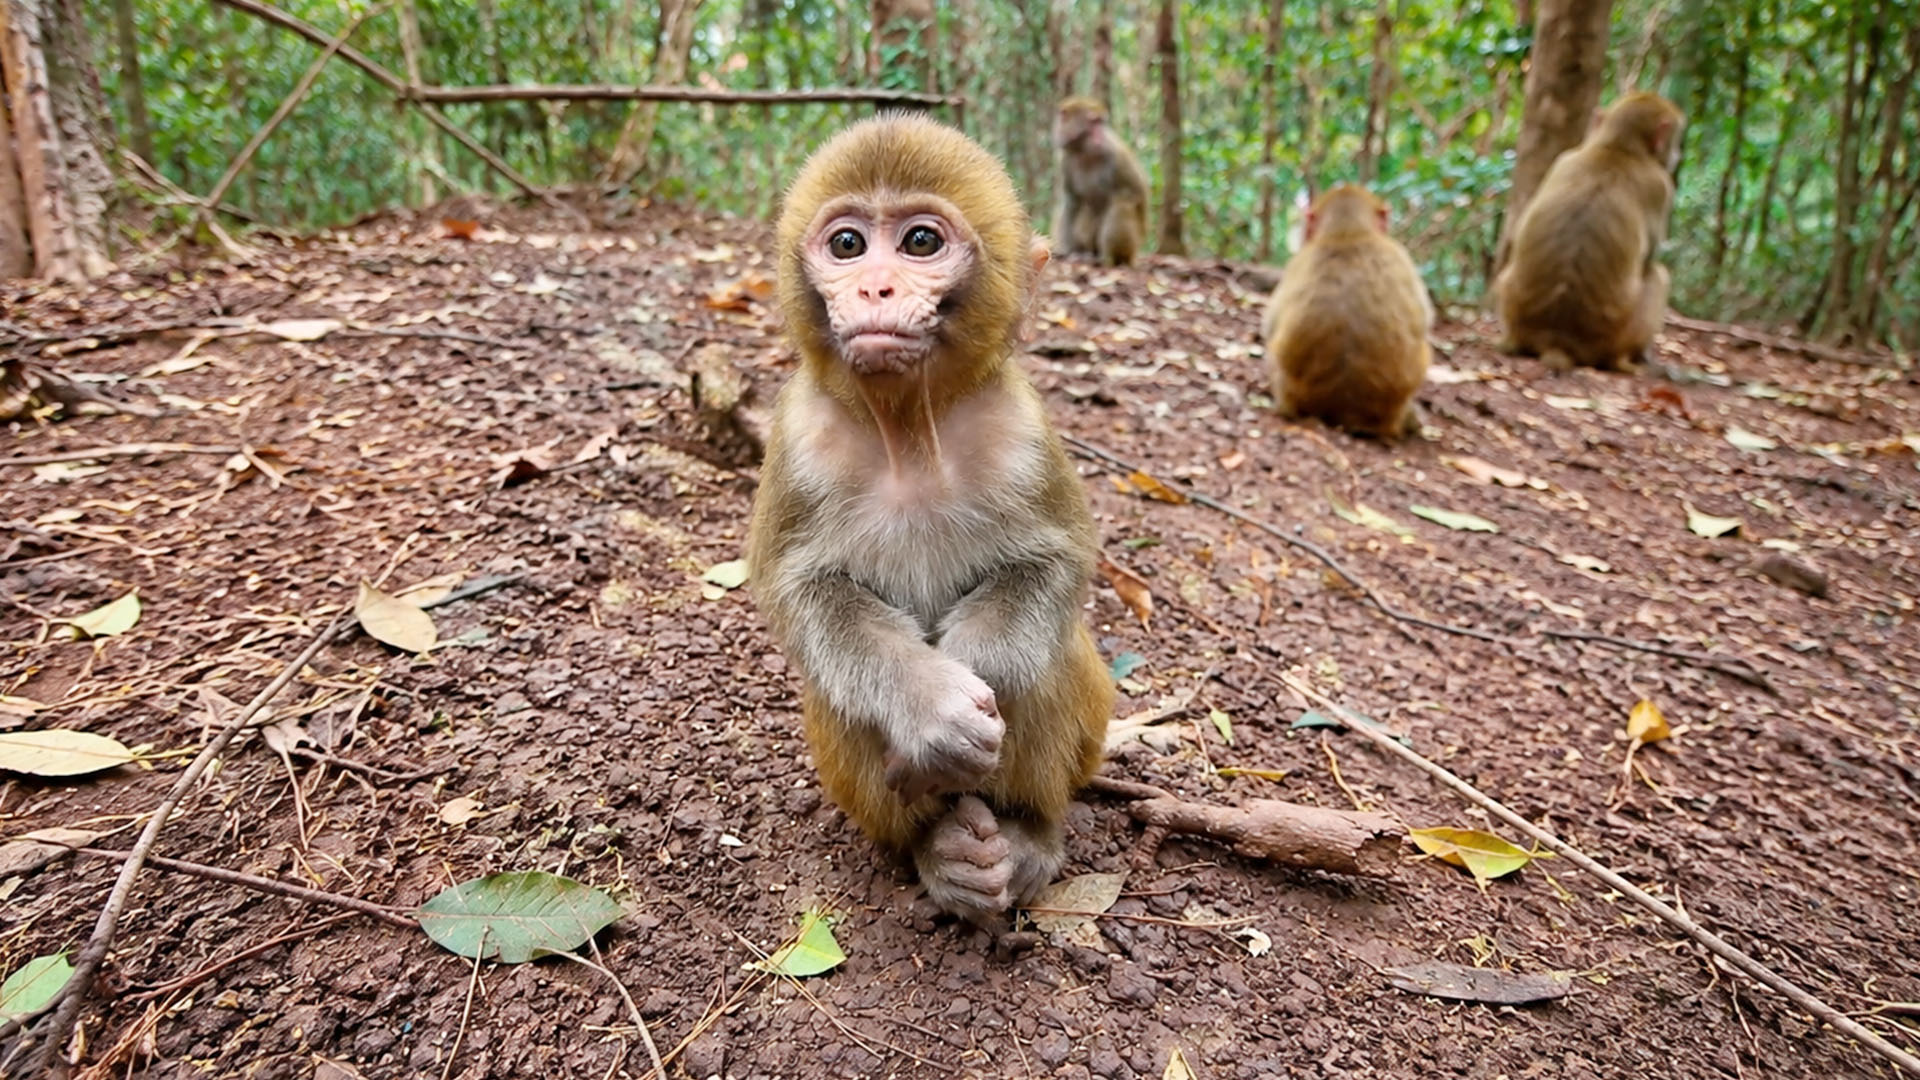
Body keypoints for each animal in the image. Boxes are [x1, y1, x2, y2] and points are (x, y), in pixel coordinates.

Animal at [746, 114, 1114, 925]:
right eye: (847, 245)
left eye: (920, 242)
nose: (874, 285)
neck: (910, 429)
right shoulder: (798, 436)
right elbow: (802, 590)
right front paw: (932, 713)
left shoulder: (1022, 428)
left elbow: (1056, 562)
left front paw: (978, 674)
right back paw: (936, 849)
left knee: (1052, 656)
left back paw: (1027, 837)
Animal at [1052, 97, 1150, 267]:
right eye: (1093, 122)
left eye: (1100, 123)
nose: (1101, 135)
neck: (1084, 153)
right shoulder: (1065, 162)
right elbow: (1073, 201)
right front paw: (1070, 251)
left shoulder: (1115, 155)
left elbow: (1135, 192)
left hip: (1133, 245)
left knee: (1122, 203)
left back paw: (1109, 257)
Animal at [1494, 92, 1686, 373]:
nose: (1677, 153)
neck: (1617, 148)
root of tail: (1556, 339)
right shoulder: (1661, 186)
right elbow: (1650, 260)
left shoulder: (1564, 158)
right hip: (1616, 338)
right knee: (1658, 276)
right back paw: (1627, 362)